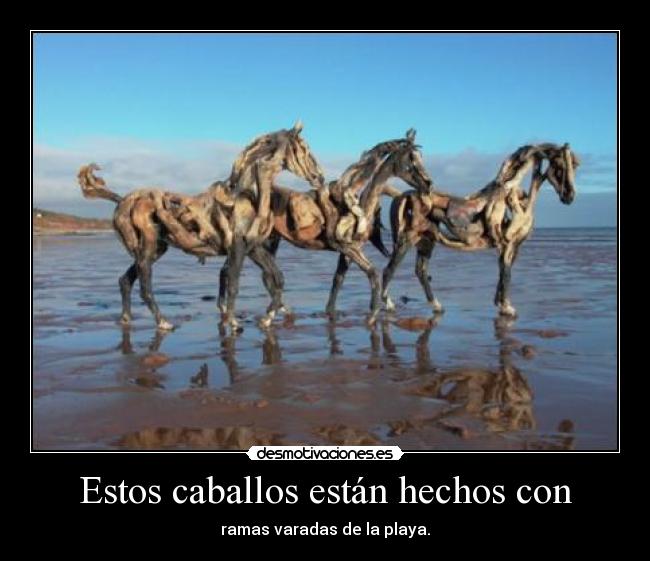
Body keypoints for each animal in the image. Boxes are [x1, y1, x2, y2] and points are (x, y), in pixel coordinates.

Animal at [381, 143, 579, 318]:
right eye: (559, 164)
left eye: (574, 166)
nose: (569, 196)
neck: (515, 199)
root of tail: (404, 195)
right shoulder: (508, 244)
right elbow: (506, 275)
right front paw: (507, 308)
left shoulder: (514, 247)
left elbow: (503, 274)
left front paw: (501, 304)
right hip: (406, 240)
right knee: (389, 270)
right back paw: (389, 305)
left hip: (426, 242)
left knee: (421, 271)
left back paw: (437, 306)